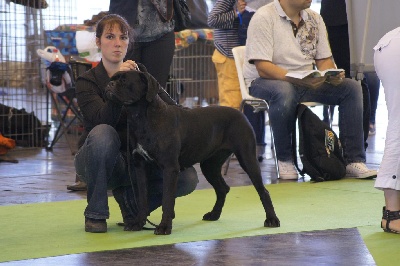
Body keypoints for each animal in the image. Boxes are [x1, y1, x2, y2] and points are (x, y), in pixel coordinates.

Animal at [106, 70, 282, 235]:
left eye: (124, 80)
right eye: (113, 78)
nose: (109, 85)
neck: (141, 117)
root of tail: (241, 114)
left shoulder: (170, 168)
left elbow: (167, 199)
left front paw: (164, 226)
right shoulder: (139, 167)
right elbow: (142, 198)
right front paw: (137, 223)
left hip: (247, 158)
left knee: (263, 190)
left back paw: (272, 219)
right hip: (210, 165)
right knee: (222, 188)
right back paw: (214, 214)